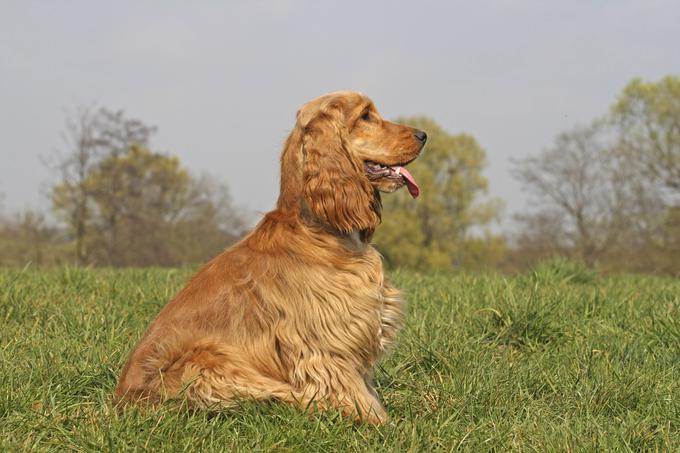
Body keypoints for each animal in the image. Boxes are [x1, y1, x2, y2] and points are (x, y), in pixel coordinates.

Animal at [115, 90, 424, 422]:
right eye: (366, 116)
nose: (423, 135)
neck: (317, 228)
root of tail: (124, 399)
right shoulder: (326, 346)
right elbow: (349, 391)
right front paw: (376, 420)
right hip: (207, 360)